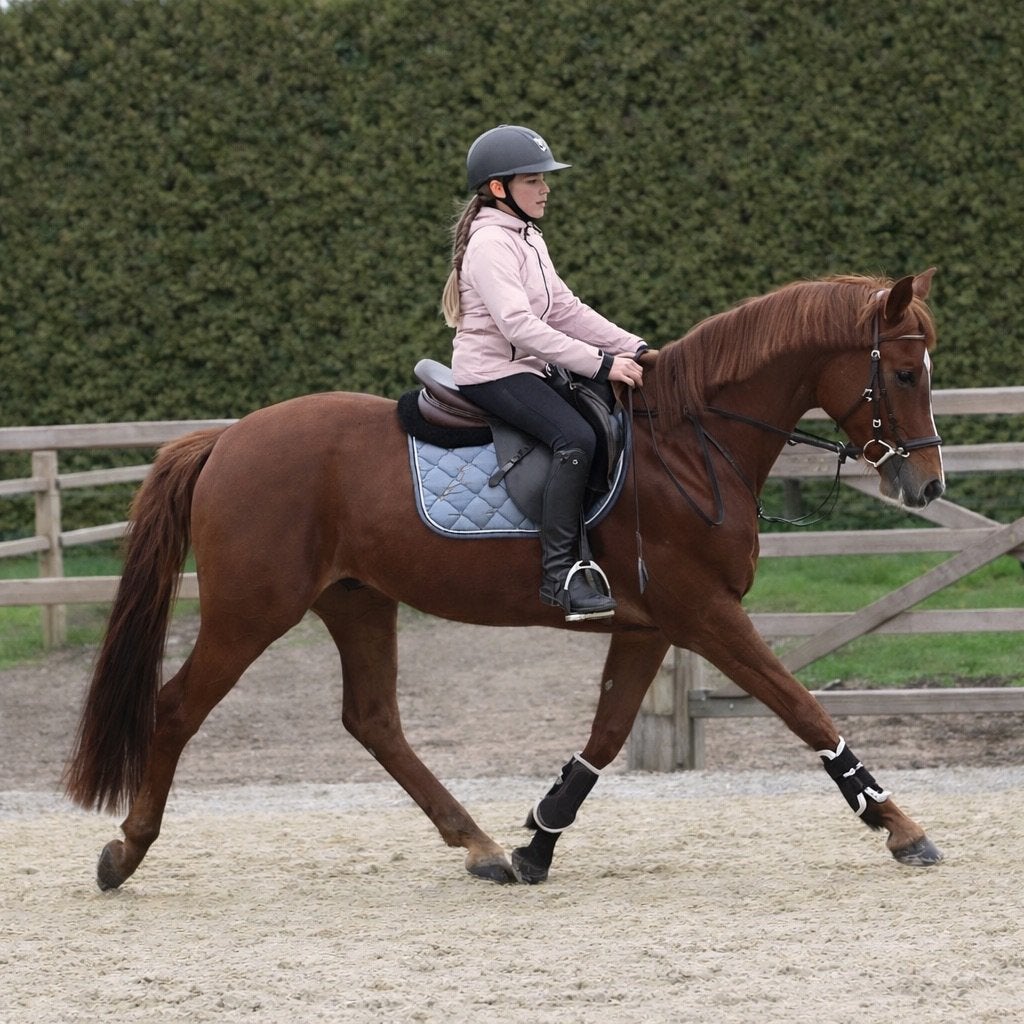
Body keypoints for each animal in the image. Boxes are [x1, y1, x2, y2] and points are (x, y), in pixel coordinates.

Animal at [64, 269, 946, 890]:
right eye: (906, 374)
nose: (927, 485)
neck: (687, 443)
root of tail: (225, 439)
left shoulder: (650, 623)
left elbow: (606, 736)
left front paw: (539, 839)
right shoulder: (704, 613)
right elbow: (802, 708)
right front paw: (899, 826)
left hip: (357, 601)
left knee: (373, 720)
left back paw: (480, 846)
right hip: (251, 611)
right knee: (176, 709)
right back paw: (125, 853)